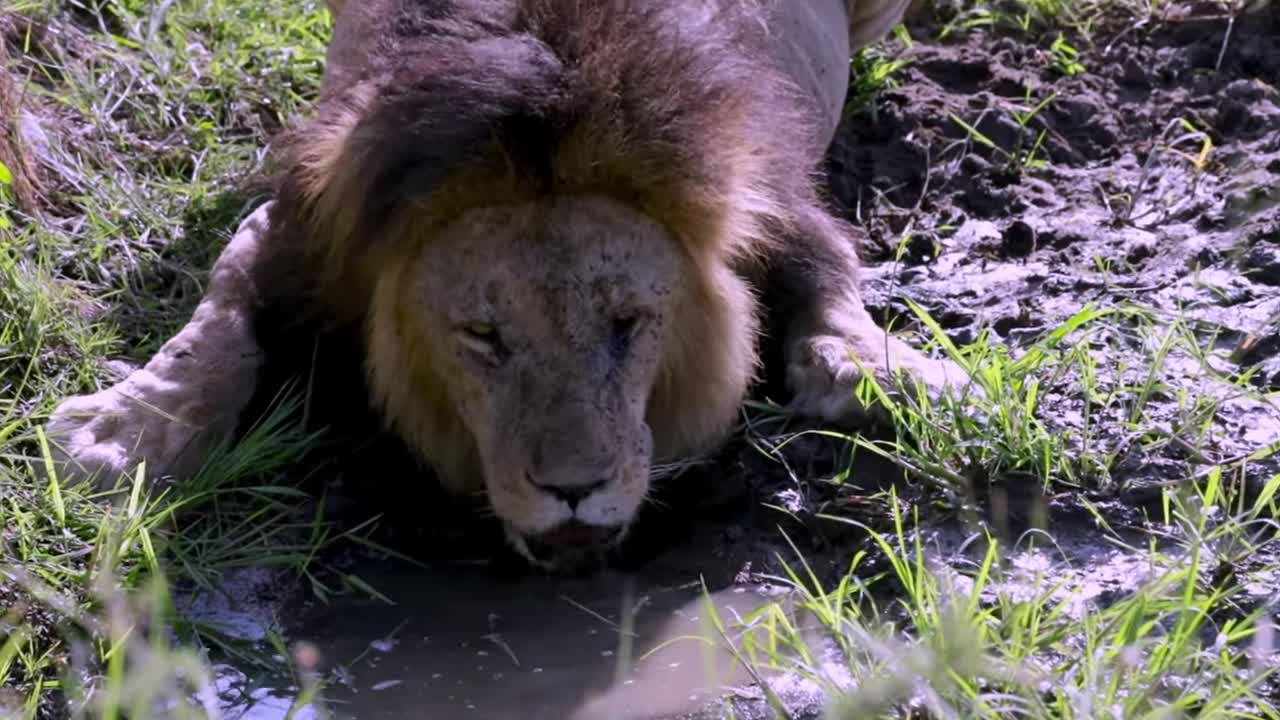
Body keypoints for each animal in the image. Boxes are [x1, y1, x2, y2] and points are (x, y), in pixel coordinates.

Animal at [47, 1, 967, 571]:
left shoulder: (773, 203)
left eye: (627, 323)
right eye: (484, 337)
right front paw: (126, 428)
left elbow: (832, 276)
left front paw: (880, 368)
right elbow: (225, 310)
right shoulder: (308, 226)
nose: (573, 491)